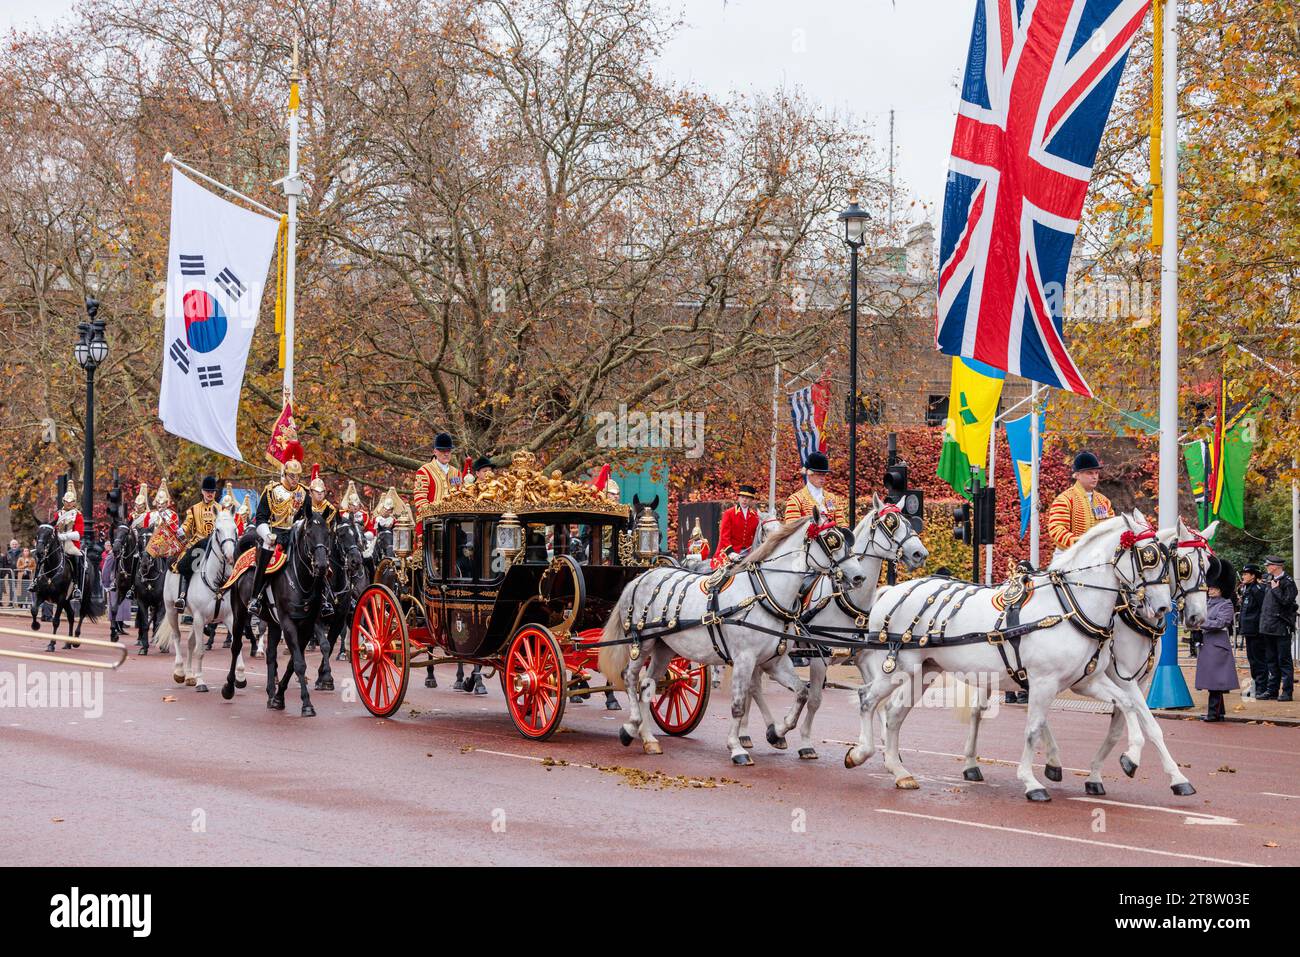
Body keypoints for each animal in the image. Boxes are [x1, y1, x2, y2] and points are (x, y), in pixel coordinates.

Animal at [28, 522, 96, 650]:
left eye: (50, 534)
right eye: (37, 533)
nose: (39, 552)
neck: (51, 571)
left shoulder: (60, 597)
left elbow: (55, 621)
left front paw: (51, 644)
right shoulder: (41, 594)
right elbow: (34, 610)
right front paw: (35, 625)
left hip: (84, 596)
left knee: (82, 613)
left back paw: (76, 640)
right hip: (66, 601)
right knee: (71, 615)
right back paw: (68, 643)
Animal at [153, 509, 246, 696]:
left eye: (235, 529)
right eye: (218, 530)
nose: (230, 556)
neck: (218, 581)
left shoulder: (230, 617)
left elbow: (236, 643)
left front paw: (240, 678)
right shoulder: (198, 617)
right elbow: (200, 651)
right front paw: (201, 682)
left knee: (189, 643)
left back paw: (189, 676)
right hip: (172, 610)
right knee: (177, 636)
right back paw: (180, 672)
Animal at [226, 504, 332, 712]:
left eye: (328, 533)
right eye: (309, 533)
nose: (322, 566)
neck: (300, 579)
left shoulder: (307, 626)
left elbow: (293, 663)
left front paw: (279, 697)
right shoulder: (288, 623)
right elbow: (299, 663)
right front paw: (306, 704)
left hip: (273, 623)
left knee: (271, 655)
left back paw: (270, 694)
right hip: (240, 612)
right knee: (236, 646)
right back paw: (230, 687)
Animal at [595, 512, 863, 764]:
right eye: (832, 540)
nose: (859, 577)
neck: (763, 594)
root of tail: (640, 577)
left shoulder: (774, 662)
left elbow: (802, 693)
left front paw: (776, 732)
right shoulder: (744, 659)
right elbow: (738, 704)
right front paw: (737, 748)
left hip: (664, 648)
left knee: (647, 685)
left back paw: (648, 739)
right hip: (642, 643)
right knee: (630, 678)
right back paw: (631, 726)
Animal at [847, 514, 1175, 800]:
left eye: (1166, 558)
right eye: (1148, 556)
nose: (1162, 608)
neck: (1069, 605)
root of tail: (891, 589)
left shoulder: (1087, 682)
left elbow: (1128, 704)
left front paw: (1131, 757)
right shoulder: (1044, 682)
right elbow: (1032, 730)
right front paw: (1031, 782)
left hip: (923, 672)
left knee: (893, 714)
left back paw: (899, 771)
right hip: (897, 669)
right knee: (867, 699)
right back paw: (861, 753)